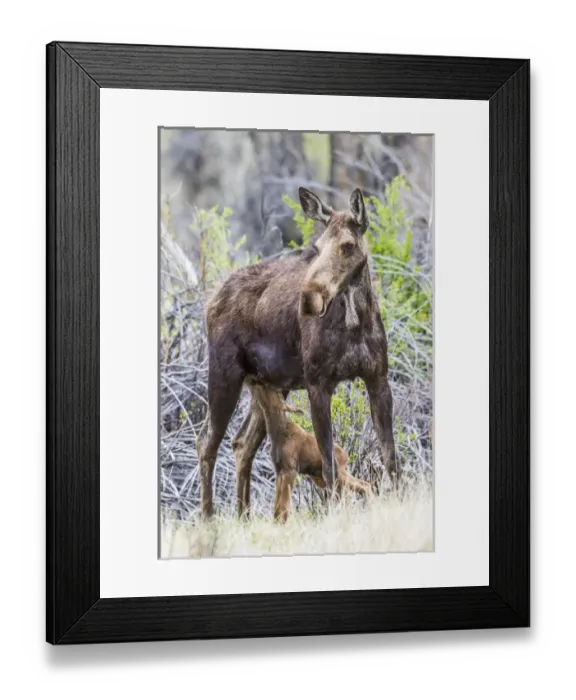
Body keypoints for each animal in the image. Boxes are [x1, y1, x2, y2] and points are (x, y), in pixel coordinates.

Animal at [248, 381, 372, 522]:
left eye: (276, 391)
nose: (258, 382)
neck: (278, 434)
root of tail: (346, 456)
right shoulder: (279, 469)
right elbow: (277, 505)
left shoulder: (291, 468)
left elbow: (284, 506)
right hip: (324, 478)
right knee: (355, 489)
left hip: (337, 474)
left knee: (361, 486)